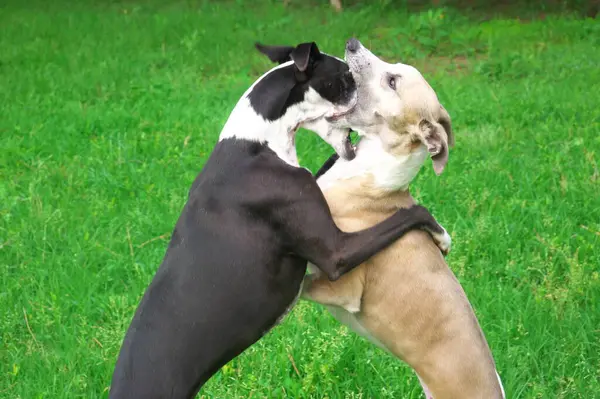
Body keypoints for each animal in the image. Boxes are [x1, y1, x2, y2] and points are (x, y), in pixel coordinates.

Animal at [108, 42, 450, 398]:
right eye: (346, 77)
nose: (354, 51)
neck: (258, 142)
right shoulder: (336, 252)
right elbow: (412, 213)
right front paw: (441, 236)